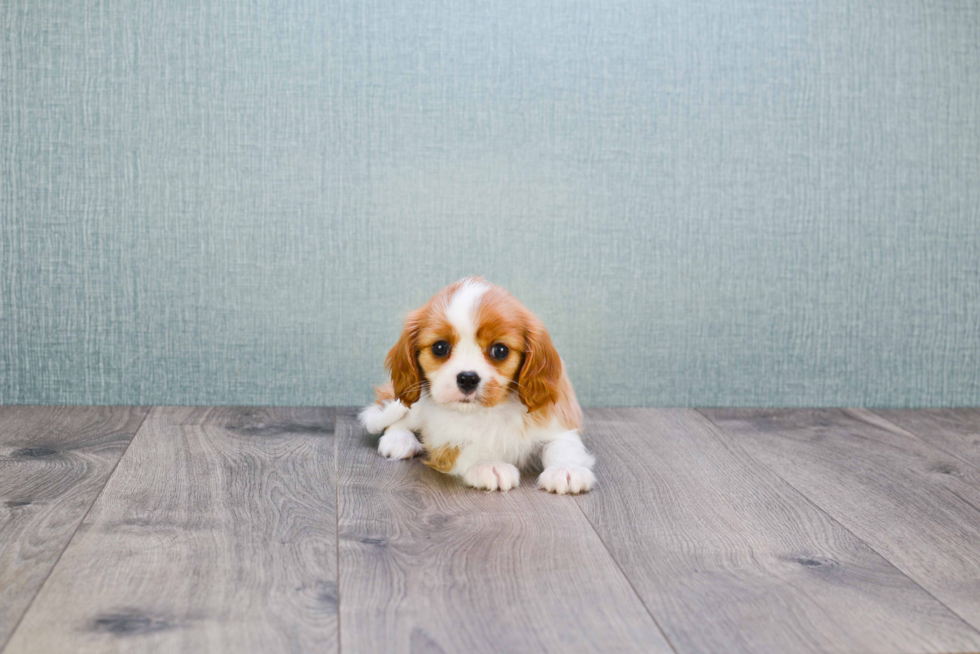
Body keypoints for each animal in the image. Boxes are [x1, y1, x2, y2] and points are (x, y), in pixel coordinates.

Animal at [356, 278, 592, 498]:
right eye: (440, 347)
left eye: (500, 350)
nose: (468, 378)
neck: (490, 411)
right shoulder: (444, 440)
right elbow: (469, 447)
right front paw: (489, 464)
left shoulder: (556, 424)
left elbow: (562, 446)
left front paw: (566, 469)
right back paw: (399, 440)